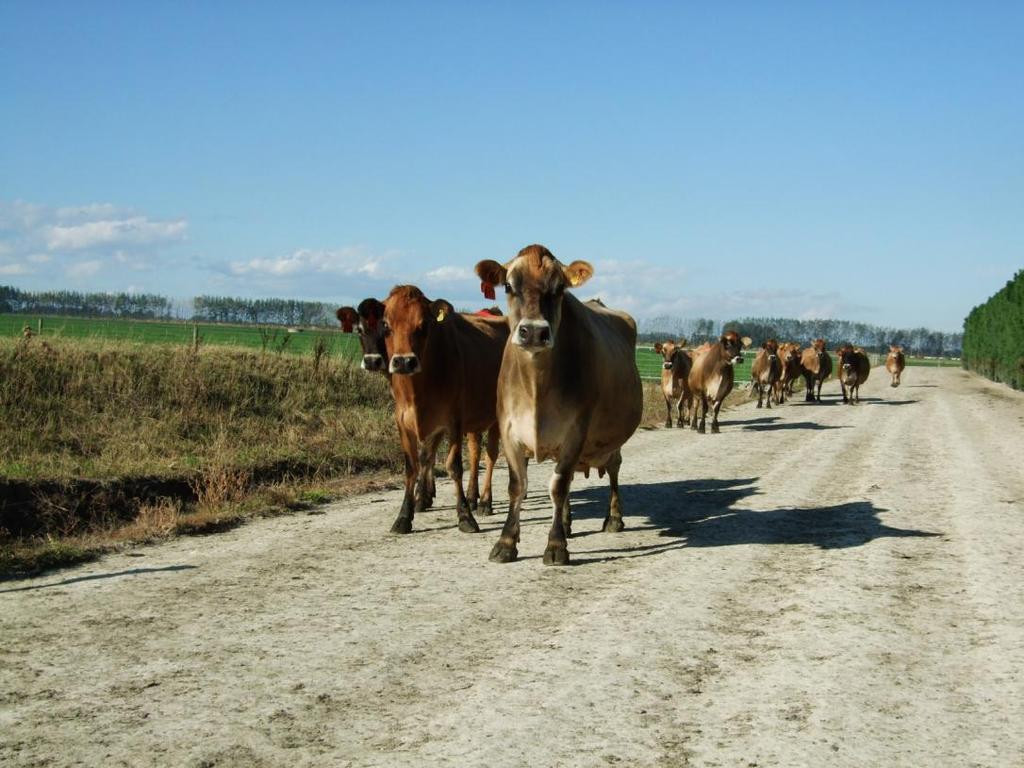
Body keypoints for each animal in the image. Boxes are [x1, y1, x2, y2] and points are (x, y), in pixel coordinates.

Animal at [473, 244, 638, 565]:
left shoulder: (576, 430)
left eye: (560, 288)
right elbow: (518, 486)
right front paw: (506, 542)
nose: (534, 332)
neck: (537, 387)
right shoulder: (509, 430)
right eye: (508, 286)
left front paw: (556, 545)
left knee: (613, 467)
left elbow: (558, 486)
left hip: (610, 439)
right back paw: (567, 521)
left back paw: (613, 518)